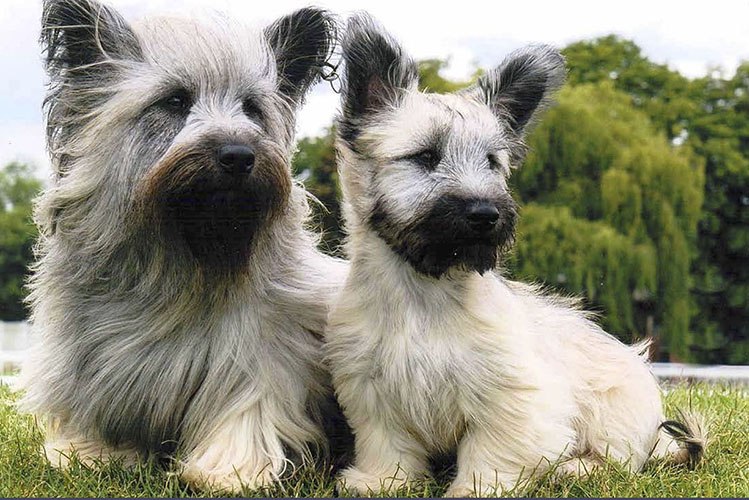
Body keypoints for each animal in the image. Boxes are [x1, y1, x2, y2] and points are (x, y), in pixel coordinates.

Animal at [326, 13, 700, 498]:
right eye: (425, 156)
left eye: (491, 162)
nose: (485, 214)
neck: (424, 293)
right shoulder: (372, 390)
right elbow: (387, 445)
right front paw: (382, 481)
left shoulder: (511, 396)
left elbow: (492, 450)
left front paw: (475, 488)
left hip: (616, 409)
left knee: (620, 459)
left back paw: (578, 468)